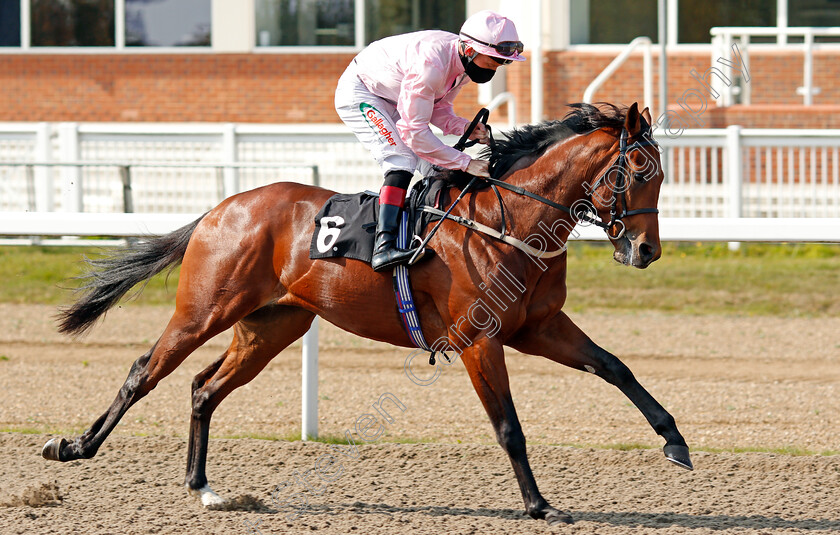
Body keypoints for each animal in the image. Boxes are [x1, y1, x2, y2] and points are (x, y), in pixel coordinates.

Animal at [41, 102, 688, 524]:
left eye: (662, 174)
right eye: (637, 171)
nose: (645, 250)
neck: (507, 223)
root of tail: (220, 209)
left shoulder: (539, 328)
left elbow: (616, 367)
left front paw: (674, 442)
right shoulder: (479, 339)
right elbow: (508, 426)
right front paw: (539, 504)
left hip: (272, 325)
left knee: (204, 387)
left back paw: (203, 488)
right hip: (203, 310)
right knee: (143, 372)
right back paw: (73, 448)